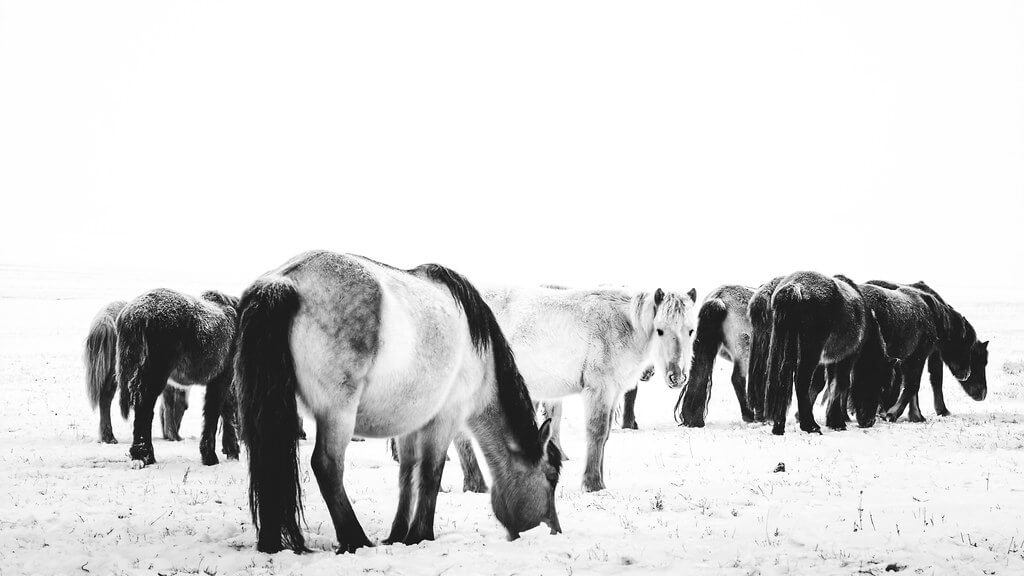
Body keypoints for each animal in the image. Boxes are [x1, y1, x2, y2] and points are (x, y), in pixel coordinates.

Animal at [85, 300, 192, 444]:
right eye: (185, 407)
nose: (167, 435)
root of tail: (105, 319)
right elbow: (168, 402)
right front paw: (174, 435)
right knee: (106, 398)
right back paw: (109, 437)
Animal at [116, 289, 240, 467]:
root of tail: (134, 313)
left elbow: (225, 409)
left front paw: (231, 450)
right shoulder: (222, 377)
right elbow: (214, 411)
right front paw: (210, 456)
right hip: (155, 374)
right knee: (144, 405)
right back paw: (144, 455)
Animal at [234, 251, 562, 554]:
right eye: (550, 477)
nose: (554, 530)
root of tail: (284, 280)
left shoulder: (411, 422)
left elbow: (407, 473)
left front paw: (398, 533)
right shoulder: (445, 417)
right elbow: (430, 473)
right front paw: (420, 534)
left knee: (269, 458)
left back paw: (271, 542)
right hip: (338, 412)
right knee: (326, 465)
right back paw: (355, 539)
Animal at [454, 285, 696, 492]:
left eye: (691, 331)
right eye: (660, 330)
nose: (677, 377)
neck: (620, 326)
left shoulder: (613, 392)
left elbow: (605, 435)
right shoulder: (599, 390)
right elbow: (597, 432)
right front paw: (593, 484)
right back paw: (476, 484)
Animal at [763, 272, 892, 435]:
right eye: (880, 385)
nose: (869, 421)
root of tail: (794, 287)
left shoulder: (829, 360)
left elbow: (826, 385)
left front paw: (831, 419)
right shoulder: (846, 357)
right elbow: (841, 384)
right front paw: (837, 421)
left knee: (782, 378)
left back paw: (779, 426)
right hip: (810, 352)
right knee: (801, 381)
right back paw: (810, 425)